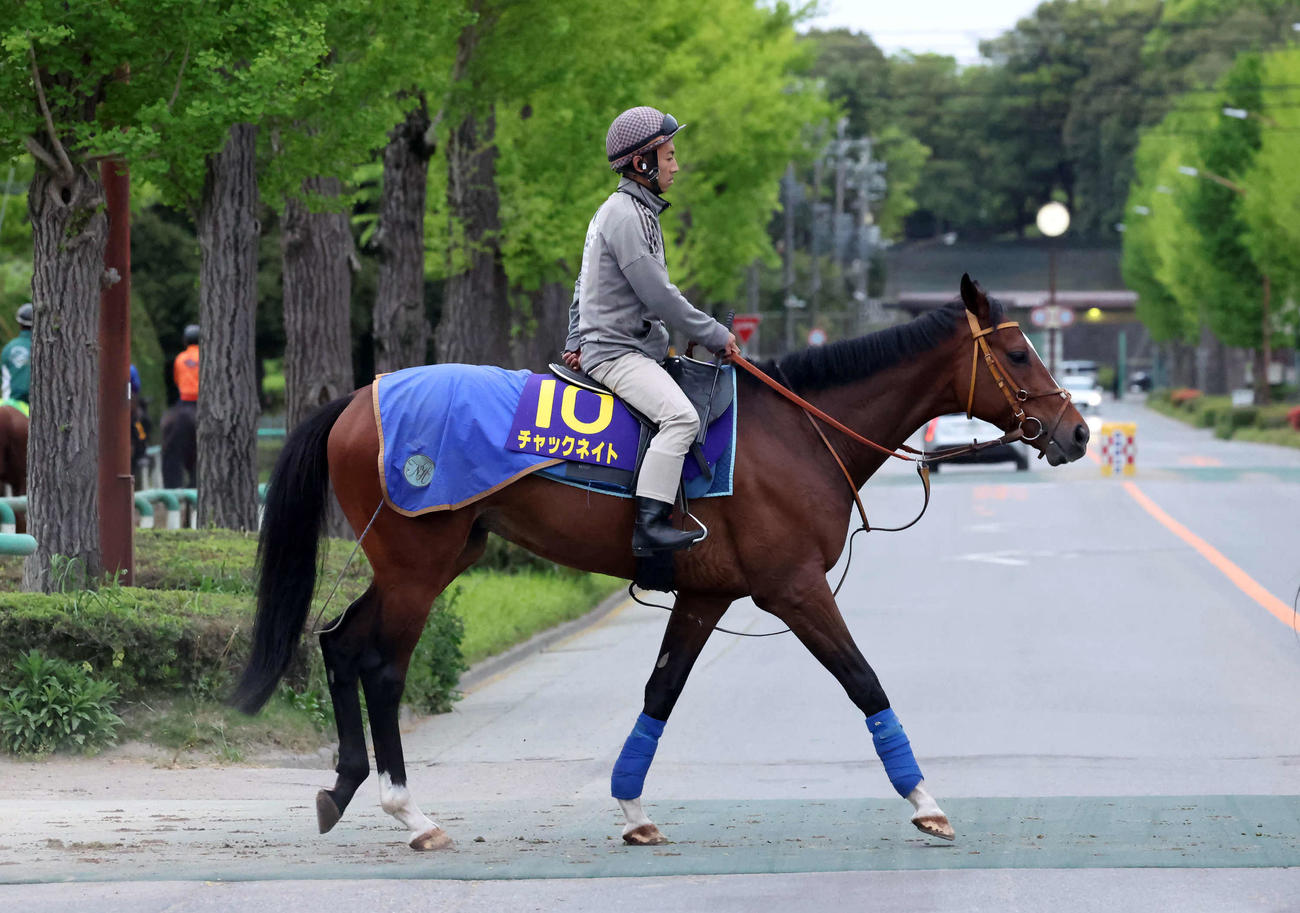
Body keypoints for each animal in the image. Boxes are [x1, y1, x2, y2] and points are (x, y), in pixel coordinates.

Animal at [232, 275, 1089, 851]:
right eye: (1018, 350)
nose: (1076, 432)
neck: (800, 432)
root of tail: (355, 399)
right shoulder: (796, 589)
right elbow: (864, 680)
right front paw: (926, 799)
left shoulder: (707, 596)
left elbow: (660, 692)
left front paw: (633, 808)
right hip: (418, 562)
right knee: (380, 666)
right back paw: (411, 811)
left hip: (429, 557)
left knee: (340, 643)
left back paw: (344, 784)